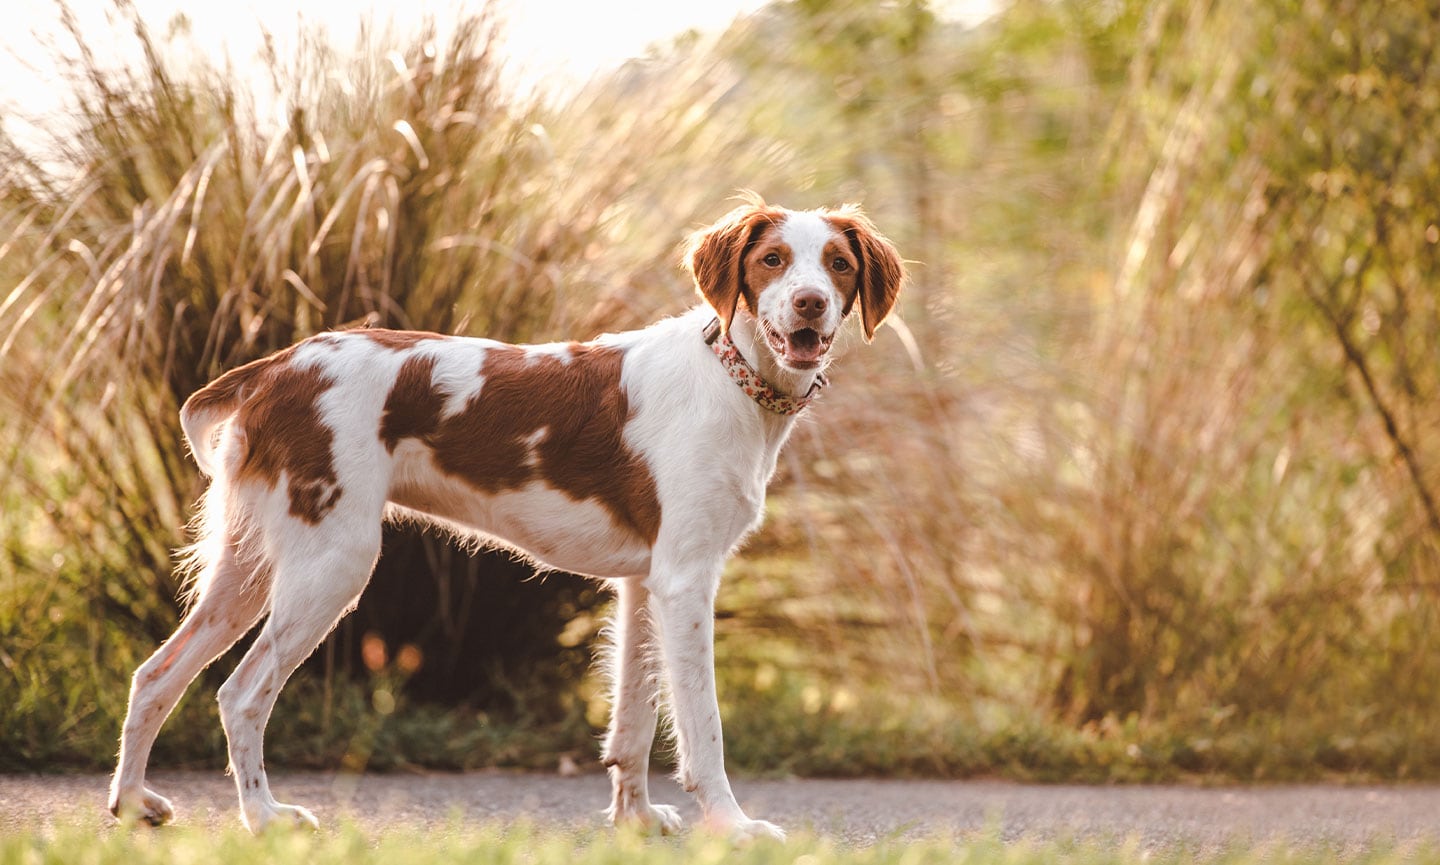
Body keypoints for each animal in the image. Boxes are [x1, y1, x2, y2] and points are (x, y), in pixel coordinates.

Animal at [109, 194, 898, 834]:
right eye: (772, 261)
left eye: (837, 265)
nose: (810, 303)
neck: (731, 381)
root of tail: (277, 366)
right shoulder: (686, 579)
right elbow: (702, 728)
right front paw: (732, 826)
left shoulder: (645, 583)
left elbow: (634, 722)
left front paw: (636, 820)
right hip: (330, 562)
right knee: (240, 693)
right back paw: (264, 817)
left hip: (250, 566)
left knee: (156, 674)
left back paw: (133, 801)